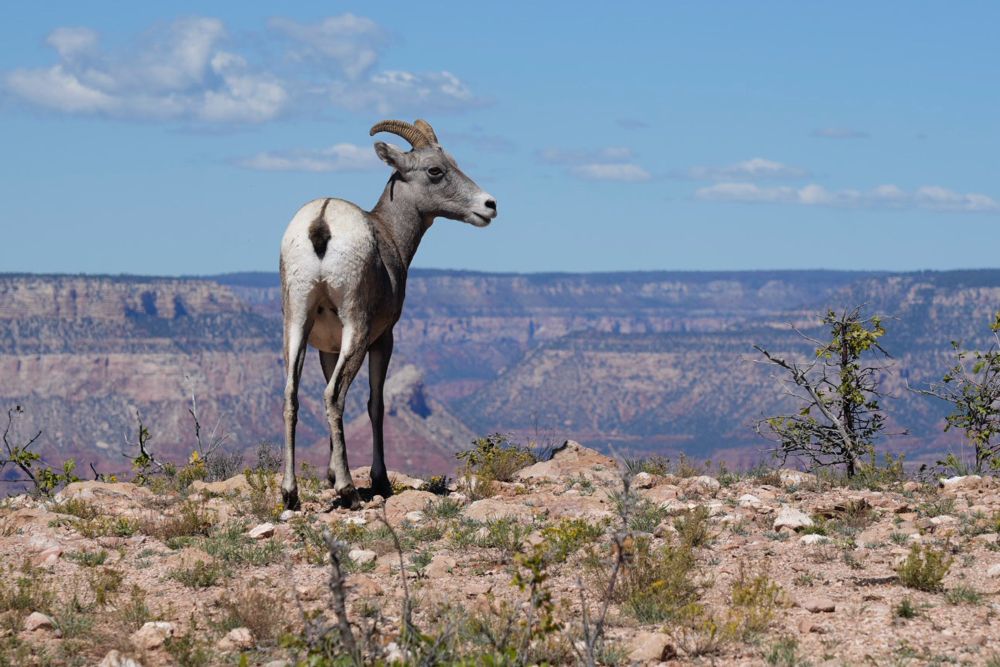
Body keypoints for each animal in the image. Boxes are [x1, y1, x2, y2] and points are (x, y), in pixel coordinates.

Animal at [278, 119, 497, 509]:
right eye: (435, 170)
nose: (489, 205)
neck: (390, 234)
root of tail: (321, 223)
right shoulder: (383, 339)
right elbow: (375, 404)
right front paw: (378, 481)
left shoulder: (327, 347)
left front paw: (330, 474)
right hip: (357, 328)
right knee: (335, 396)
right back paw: (349, 491)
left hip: (295, 324)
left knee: (293, 395)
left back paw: (290, 494)